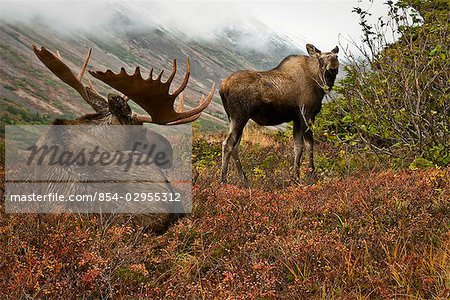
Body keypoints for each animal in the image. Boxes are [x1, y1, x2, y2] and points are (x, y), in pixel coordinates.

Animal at [220, 44, 340, 185]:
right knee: (227, 144)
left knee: (235, 146)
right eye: (321, 59)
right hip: (239, 117)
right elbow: (309, 145)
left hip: (234, 118)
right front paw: (311, 175)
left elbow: (298, 146)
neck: (319, 84)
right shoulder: (307, 114)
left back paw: (244, 180)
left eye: (336, 56)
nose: (333, 66)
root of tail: (222, 87)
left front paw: (296, 178)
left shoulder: (297, 118)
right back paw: (223, 180)